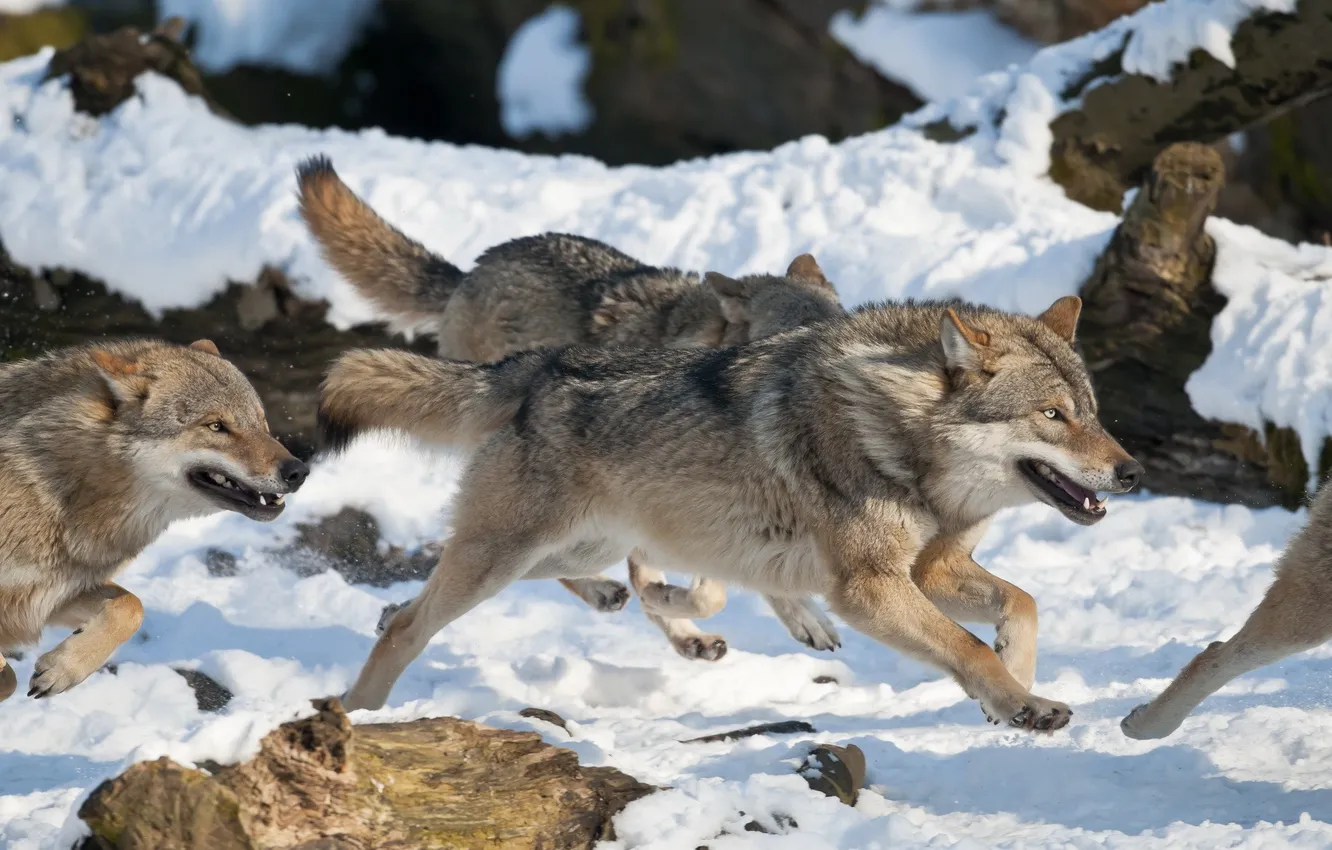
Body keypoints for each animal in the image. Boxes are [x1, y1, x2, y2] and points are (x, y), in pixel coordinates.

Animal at [0, 340, 308, 703]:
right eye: (216, 426)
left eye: (261, 423)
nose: (298, 472)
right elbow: (8, 679)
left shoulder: (55, 596)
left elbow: (133, 608)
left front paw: (63, 669)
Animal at [319, 295, 1144, 729]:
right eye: (1052, 416)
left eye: (1094, 414)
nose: (1132, 472)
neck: (904, 441)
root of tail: (538, 366)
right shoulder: (869, 587)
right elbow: (966, 648)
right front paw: (1022, 702)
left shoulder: (933, 568)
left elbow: (1023, 606)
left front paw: (1018, 690)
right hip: (505, 555)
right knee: (407, 623)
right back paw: (358, 714)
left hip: (572, 547)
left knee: (593, 580)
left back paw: (647, 609)